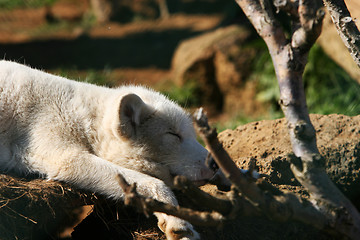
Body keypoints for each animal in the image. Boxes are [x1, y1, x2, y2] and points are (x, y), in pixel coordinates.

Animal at [0, 60, 217, 240]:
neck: (83, 118)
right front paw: (179, 224)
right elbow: (155, 183)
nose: (215, 164)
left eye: (192, 135)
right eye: (174, 135)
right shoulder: (64, 156)